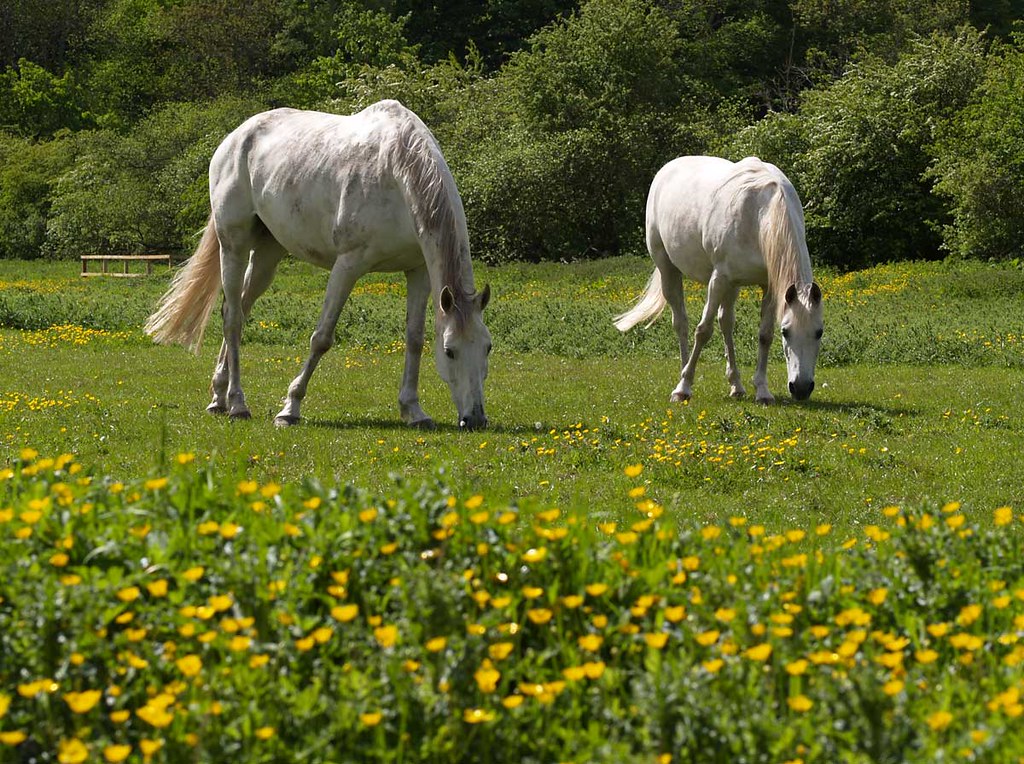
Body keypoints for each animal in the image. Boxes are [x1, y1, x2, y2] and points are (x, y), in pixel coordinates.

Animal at [144, 100, 491, 429]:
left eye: (487, 348)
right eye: (449, 351)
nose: (475, 419)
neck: (398, 173)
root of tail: (235, 138)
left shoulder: (418, 271)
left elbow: (415, 339)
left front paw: (414, 411)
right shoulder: (348, 265)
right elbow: (322, 337)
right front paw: (289, 409)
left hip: (267, 256)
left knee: (238, 308)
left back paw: (219, 397)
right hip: (234, 245)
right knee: (232, 320)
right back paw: (238, 404)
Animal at [614, 156, 823, 404]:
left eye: (819, 332)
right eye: (786, 332)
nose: (801, 388)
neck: (758, 213)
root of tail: (667, 168)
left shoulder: (769, 286)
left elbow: (764, 335)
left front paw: (762, 390)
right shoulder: (719, 280)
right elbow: (703, 331)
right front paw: (683, 387)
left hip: (733, 285)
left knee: (726, 323)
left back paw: (736, 385)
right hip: (669, 268)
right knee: (682, 323)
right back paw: (683, 373)